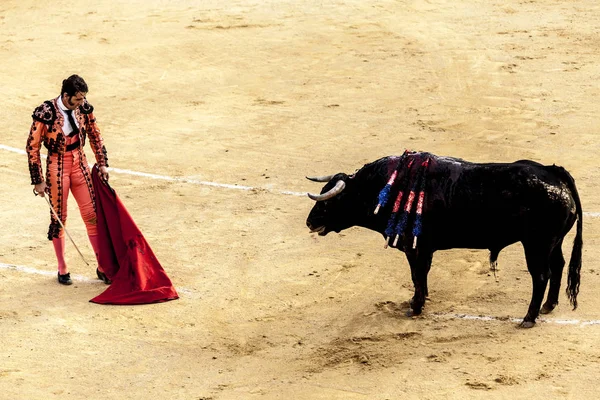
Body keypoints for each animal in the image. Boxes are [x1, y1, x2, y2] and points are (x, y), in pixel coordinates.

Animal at [304, 153, 580, 328]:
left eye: (331, 200)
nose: (309, 222)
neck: (385, 188)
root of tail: (553, 172)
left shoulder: (413, 247)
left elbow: (416, 274)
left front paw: (415, 307)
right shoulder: (423, 248)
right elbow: (421, 274)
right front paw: (420, 301)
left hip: (536, 244)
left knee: (541, 275)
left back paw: (529, 318)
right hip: (553, 243)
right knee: (558, 266)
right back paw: (548, 306)